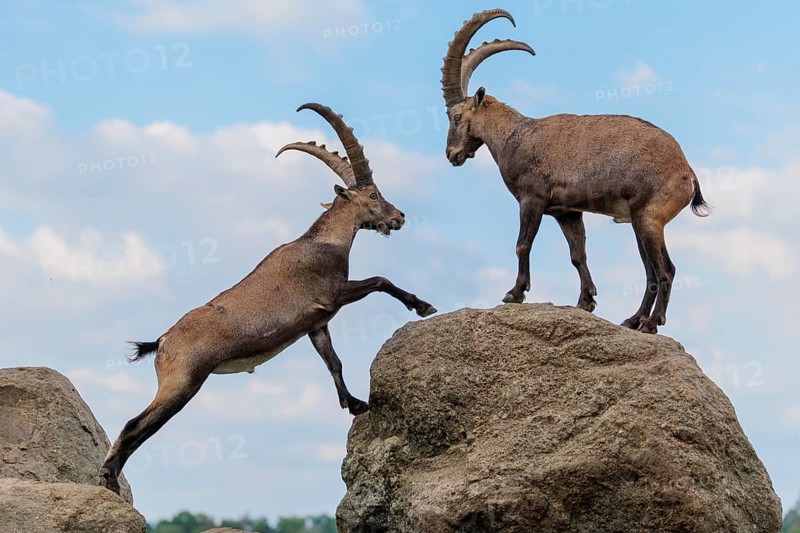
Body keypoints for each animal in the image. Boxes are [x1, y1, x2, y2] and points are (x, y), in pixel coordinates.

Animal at [98, 103, 437, 494]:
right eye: (373, 196)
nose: (399, 217)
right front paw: (422, 305)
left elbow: (333, 362)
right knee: (133, 426)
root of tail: (163, 341)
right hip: (181, 383)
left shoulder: (317, 323)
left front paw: (354, 404)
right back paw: (108, 478)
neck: (325, 242)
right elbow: (381, 280)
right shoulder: (334, 293)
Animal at [440, 9, 709, 334]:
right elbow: (577, 255)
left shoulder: (532, 199)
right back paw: (634, 319)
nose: (451, 155)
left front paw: (514, 293)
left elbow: (522, 245)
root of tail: (686, 172)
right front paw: (586, 300)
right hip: (640, 221)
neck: (514, 136)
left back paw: (651, 323)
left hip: (650, 218)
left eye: (456, 116)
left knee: (665, 270)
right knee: (650, 272)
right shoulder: (566, 212)